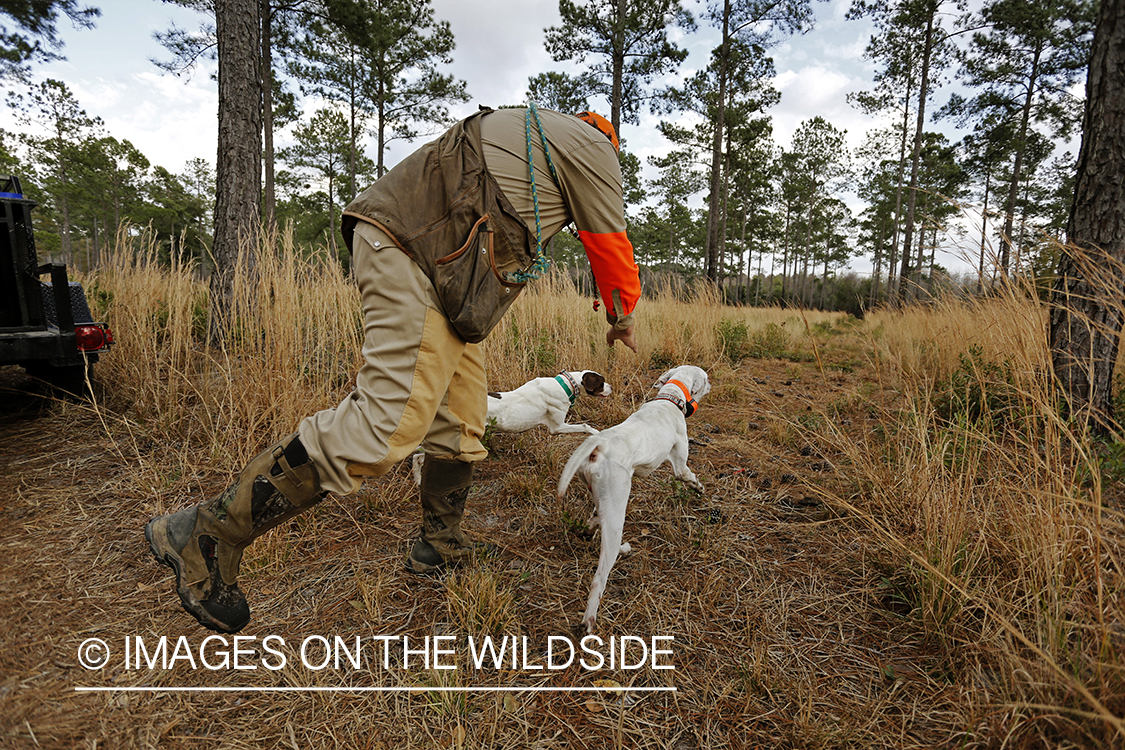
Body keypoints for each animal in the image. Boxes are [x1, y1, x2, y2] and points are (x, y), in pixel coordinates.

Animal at [555, 364, 711, 634]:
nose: (711, 384)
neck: (669, 399)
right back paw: (589, 619)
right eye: (705, 378)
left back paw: (601, 538)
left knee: (594, 521)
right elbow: (689, 476)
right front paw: (700, 489)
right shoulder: (680, 466)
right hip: (617, 508)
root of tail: (599, 444)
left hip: (605, 497)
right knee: (600, 575)